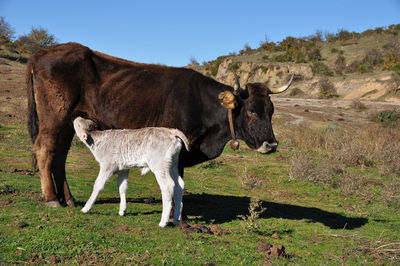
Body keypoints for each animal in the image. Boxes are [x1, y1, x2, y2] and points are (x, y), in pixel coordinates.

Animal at [26, 42, 292, 207]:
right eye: (252, 111)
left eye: (271, 111)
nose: (271, 145)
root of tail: (41, 53)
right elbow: (175, 182)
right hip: (54, 116)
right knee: (45, 149)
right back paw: (51, 198)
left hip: (69, 120)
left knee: (60, 155)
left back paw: (68, 199)